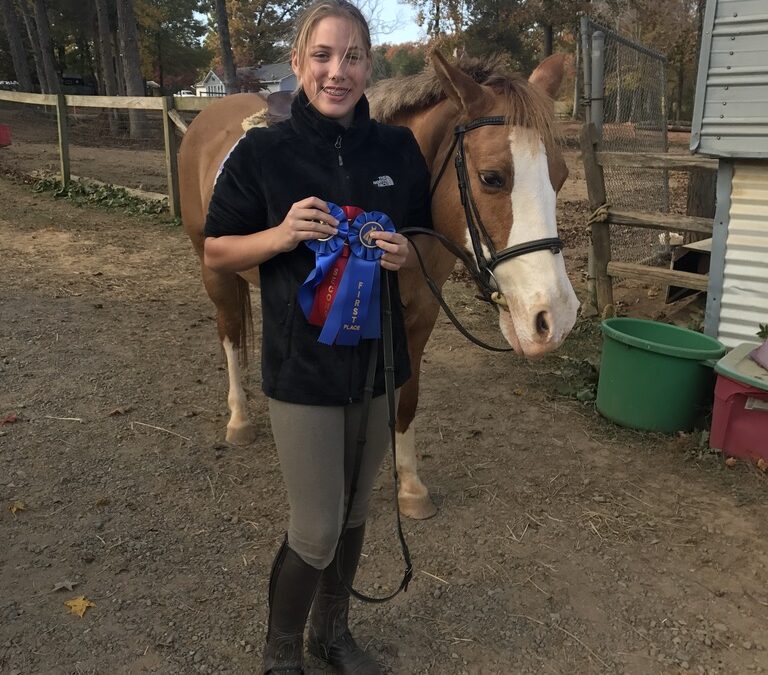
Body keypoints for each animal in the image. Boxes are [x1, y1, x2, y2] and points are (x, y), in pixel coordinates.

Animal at [178, 51, 579, 521]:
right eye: (492, 177)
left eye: (561, 176)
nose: (555, 318)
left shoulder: (419, 317)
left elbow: (407, 399)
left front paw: (410, 486)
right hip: (214, 268)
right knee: (229, 334)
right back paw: (239, 418)